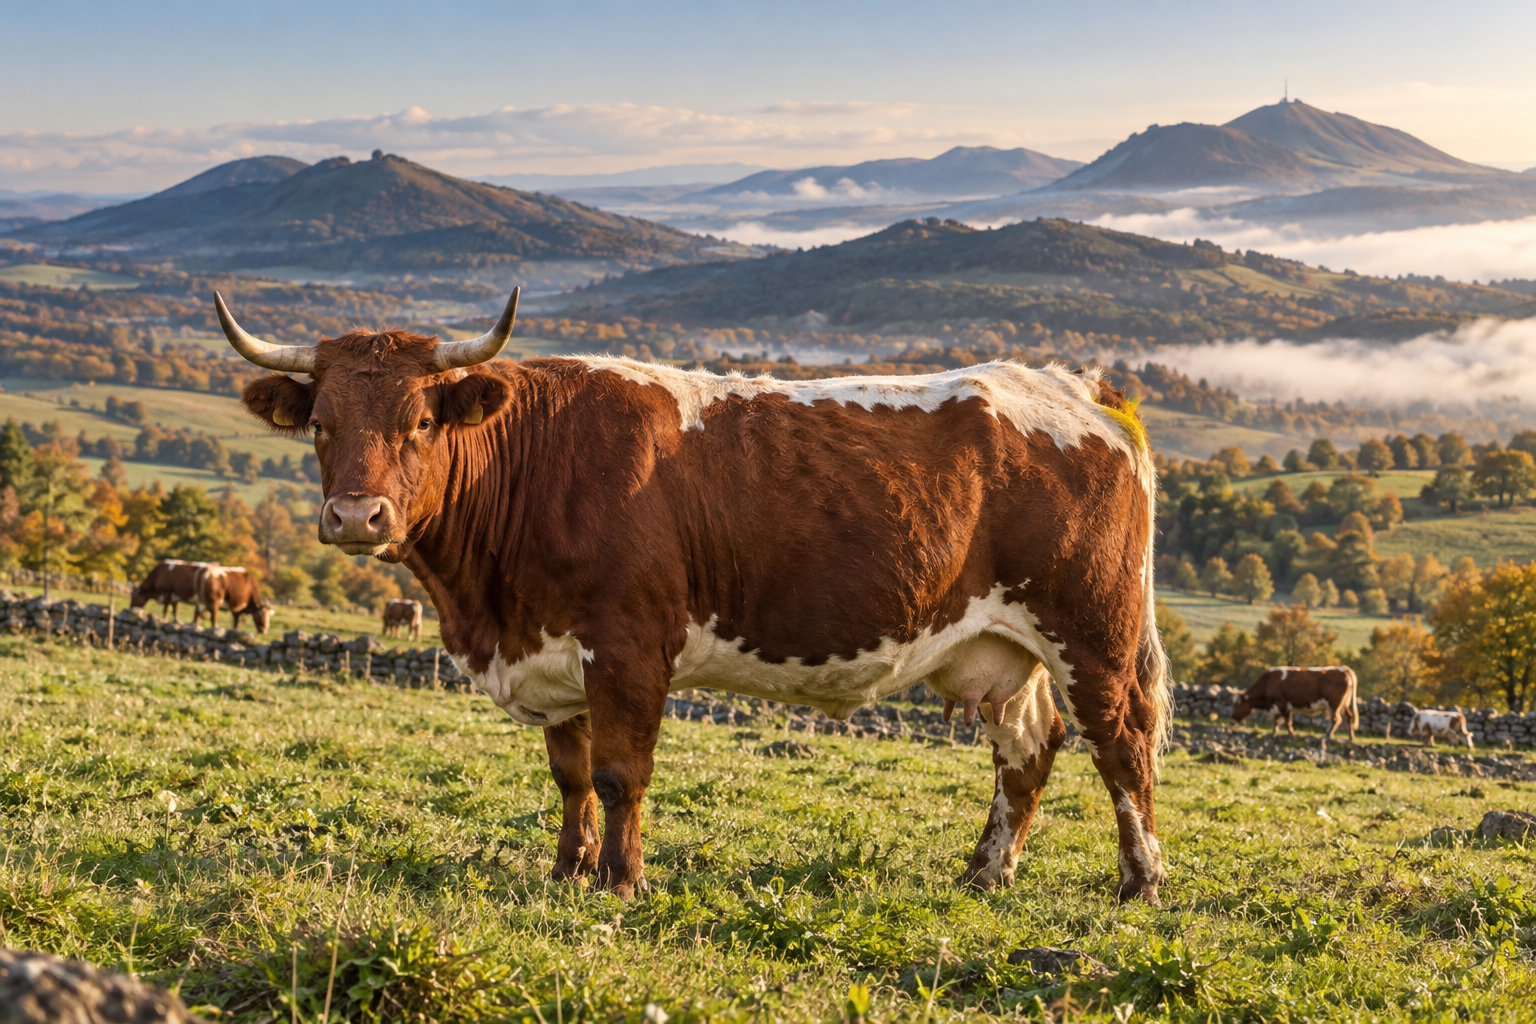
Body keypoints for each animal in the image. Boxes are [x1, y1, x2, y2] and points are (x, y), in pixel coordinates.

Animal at [215, 289, 1172, 904]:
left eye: (419, 422)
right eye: (319, 424)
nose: (356, 515)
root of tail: (1079, 386)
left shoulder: (630, 643)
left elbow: (620, 772)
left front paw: (622, 882)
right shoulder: (552, 652)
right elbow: (569, 774)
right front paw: (567, 871)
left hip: (1092, 628)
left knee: (1122, 744)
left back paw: (1140, 883)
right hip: (998, 644)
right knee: (1028, 748)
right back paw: (984, 874)